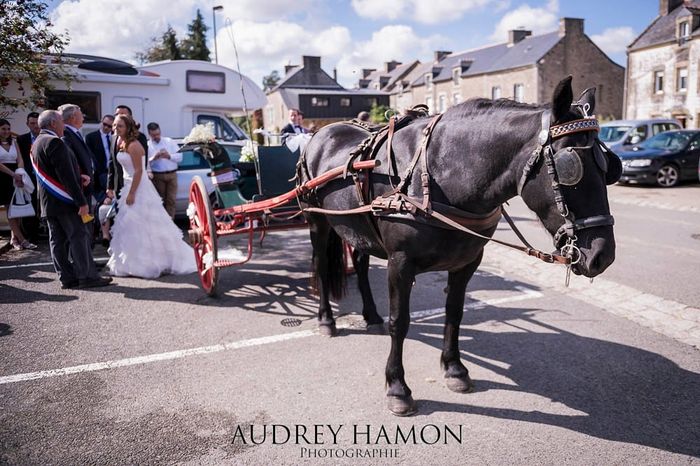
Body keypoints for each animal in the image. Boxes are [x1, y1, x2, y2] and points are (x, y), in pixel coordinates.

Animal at [298, 76, 620, 416]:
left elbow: (455, 312)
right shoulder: (400, 263)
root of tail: (323, 132)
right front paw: (397, 387)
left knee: (359, 263)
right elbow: (400, 322)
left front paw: (454, 369)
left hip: (356, 224)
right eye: (571, 165)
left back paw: (371, 316)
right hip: (318, 221)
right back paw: (326, 320)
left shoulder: (468, 261)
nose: (602, 256)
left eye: (610, 167)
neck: (440, 175)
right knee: (321, 266)